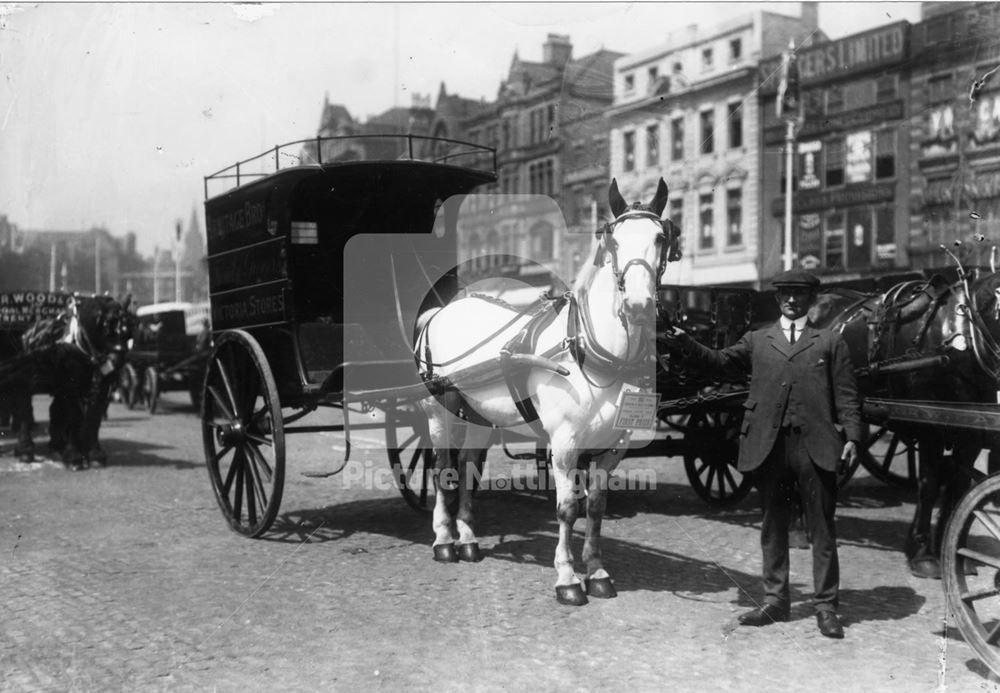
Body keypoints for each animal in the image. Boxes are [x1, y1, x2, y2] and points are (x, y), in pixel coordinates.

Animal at [0, 292, 135, 470]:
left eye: (128, 327)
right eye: (106, 325)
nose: (116, 362)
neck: (82, 347)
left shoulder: (101, 388)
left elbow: (94, 418)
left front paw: (94, 454)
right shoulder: (71, 387)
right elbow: (73, 417)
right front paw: (74, 457)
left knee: (53, 410)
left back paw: (56, 447)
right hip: (23, 380)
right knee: (24, 411)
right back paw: (25, 450)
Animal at [414, 178, 680, 604]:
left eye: (661, 237)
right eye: (613, 240)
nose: (638, 305)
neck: (589, 349)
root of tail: (440, 312)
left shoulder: (612, 447)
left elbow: (596, 508)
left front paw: (597, 571)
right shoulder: (565, 443)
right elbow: (567, 508)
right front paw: (567, 577)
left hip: (479, 414)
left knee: (468, 466)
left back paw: (468, 538)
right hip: (439, 409)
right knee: (443, 469)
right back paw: (443, 540)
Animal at [812, 270, 1000, 580]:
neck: (963, 333)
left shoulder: (970, 431)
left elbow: (958, 485)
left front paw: (953, 552)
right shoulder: (931, 426)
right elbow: (929, 485)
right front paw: (922, 554)